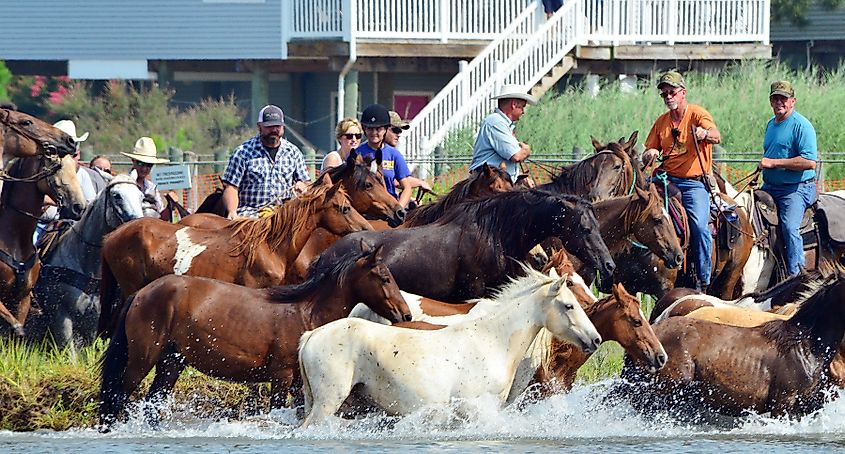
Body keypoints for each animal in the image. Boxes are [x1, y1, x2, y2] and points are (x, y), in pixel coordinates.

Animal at [98, 244, 412, 429]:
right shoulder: (281, 377)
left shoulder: (297, 382)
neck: (303, 313)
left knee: (152, 402)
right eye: (384, 277)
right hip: (142, 359)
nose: (406, 315)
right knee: (119, 396)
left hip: (171, 363)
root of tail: (140, 294)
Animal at [297, 266, 601, 427]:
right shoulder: (476, 410)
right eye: (569, 305)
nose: (595, 339)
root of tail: (311, 335)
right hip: (328, 402)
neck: (493, 341)